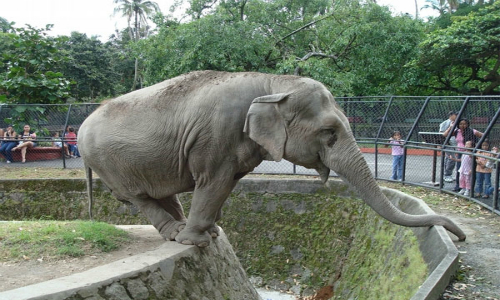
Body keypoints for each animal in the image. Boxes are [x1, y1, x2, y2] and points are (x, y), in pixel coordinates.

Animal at [77, 69, 464, 246]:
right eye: (329, 132)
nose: (459, 237)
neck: (273, 83)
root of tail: (80, 127)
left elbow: (225, 185)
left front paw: (212, 232)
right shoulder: (217, 136)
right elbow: (213, 182)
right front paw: (199, 241)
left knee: (161, 193)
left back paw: (180, 228)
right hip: (110, 164)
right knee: (138, 197)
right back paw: (178, 235)